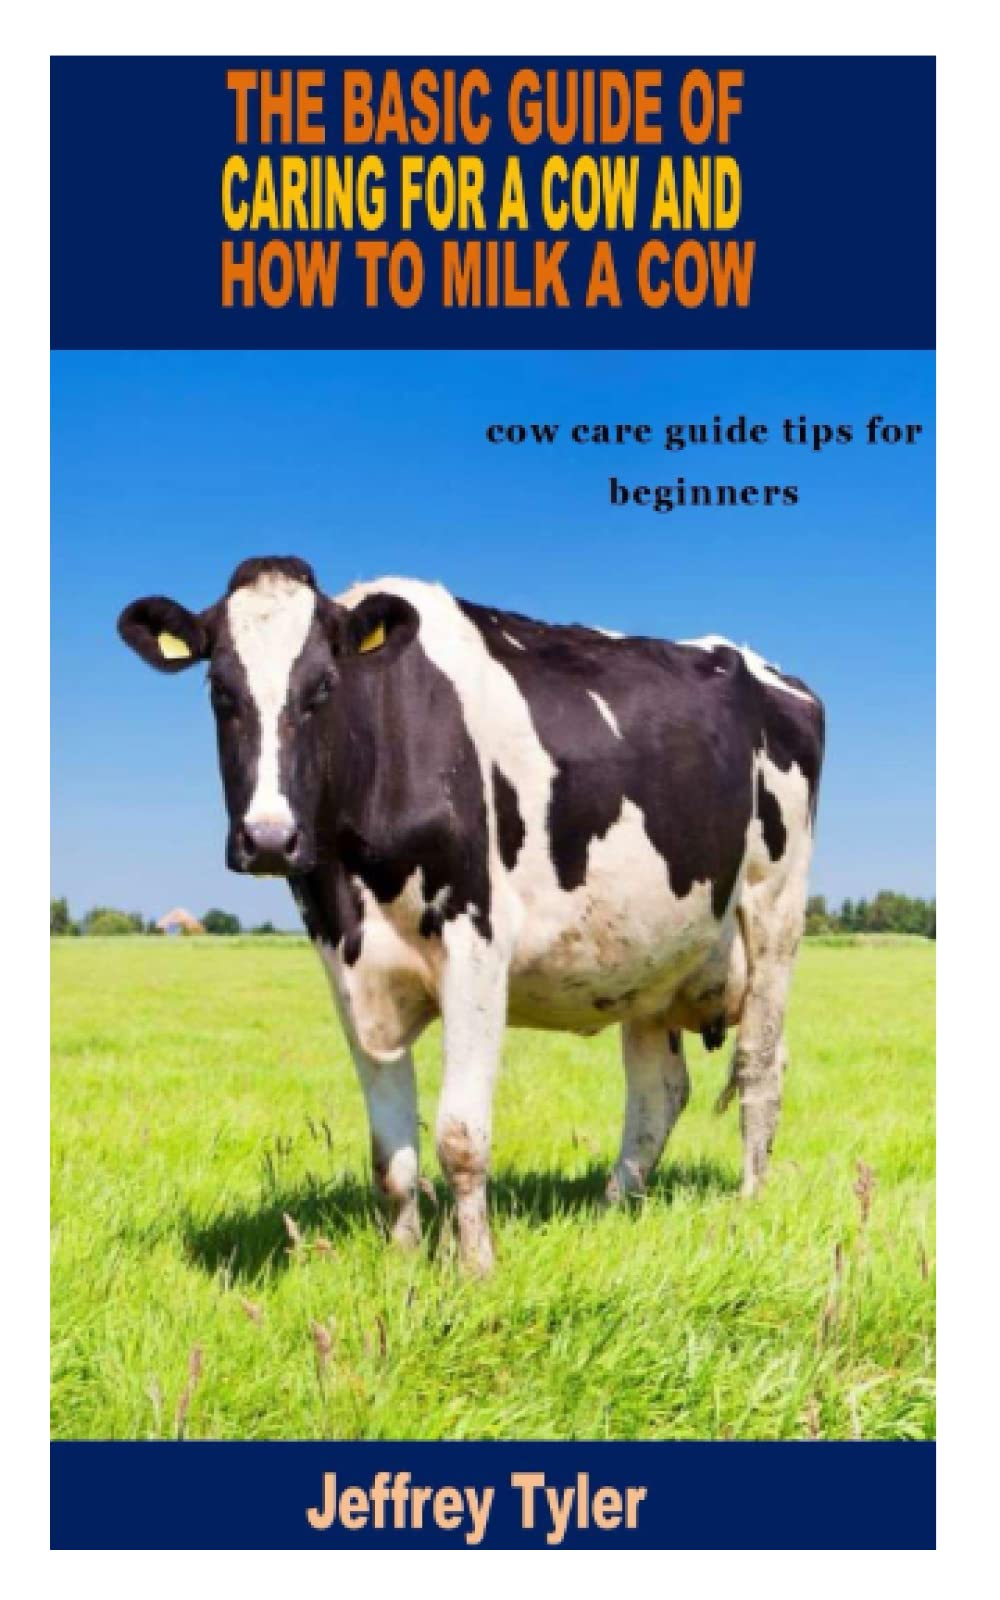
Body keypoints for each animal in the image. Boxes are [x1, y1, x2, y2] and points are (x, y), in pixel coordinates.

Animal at [119, 556, 824, 1272]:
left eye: (323, 687)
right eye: (220, 690)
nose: (268, 839)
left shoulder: (475, 943)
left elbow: (460, 1135)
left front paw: (476, 1267)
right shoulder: (346, 967)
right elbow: (390, 1154)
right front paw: (403, 1261)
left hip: (775, 910)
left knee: (759, 1066)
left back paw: (747, 1203)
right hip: (653, 955)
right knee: (660, 1091)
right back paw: (611, 1210)